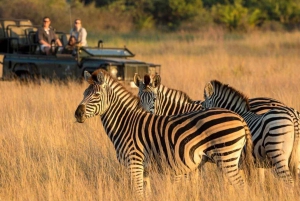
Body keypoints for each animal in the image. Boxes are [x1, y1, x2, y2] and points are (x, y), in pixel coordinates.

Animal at [74, 69, 253, 198]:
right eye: (83, 94)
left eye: (96, 95)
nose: (77, 114)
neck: (126, 123)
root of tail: (239, 117)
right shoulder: (144, 169)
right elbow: (145, 194)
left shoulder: (134, 164)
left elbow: (137, 194)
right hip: (230, 159)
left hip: (226, 157)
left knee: (242, 186)